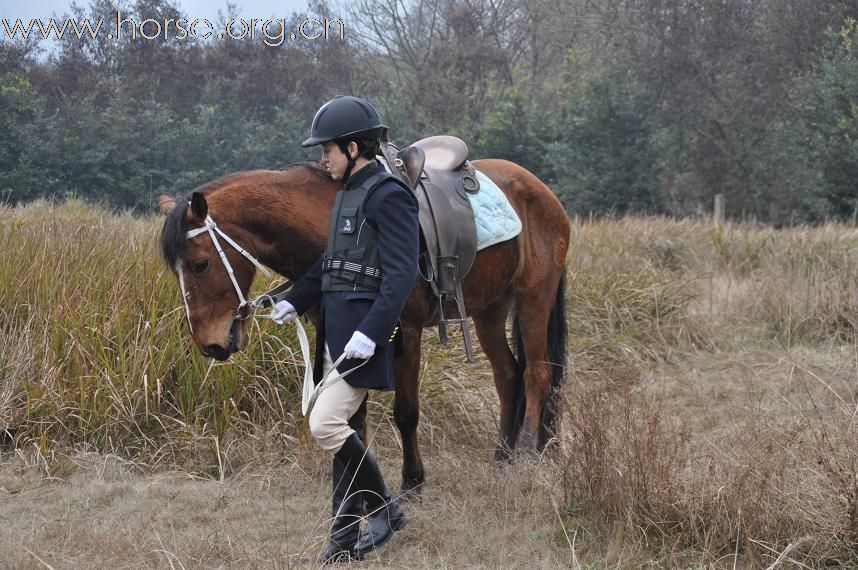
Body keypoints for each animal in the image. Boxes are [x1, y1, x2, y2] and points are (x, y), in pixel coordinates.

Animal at [157, 158, 568, 490]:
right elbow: (353, 417)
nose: (210, 344)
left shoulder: (406, 333)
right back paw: (501, 457)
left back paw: (526, 452)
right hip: (490, 310)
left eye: (200, 264)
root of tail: (542, 191)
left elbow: (406, 412)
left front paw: (412, 481)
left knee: (536, 374)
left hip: (533, 297)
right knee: (508, 376)